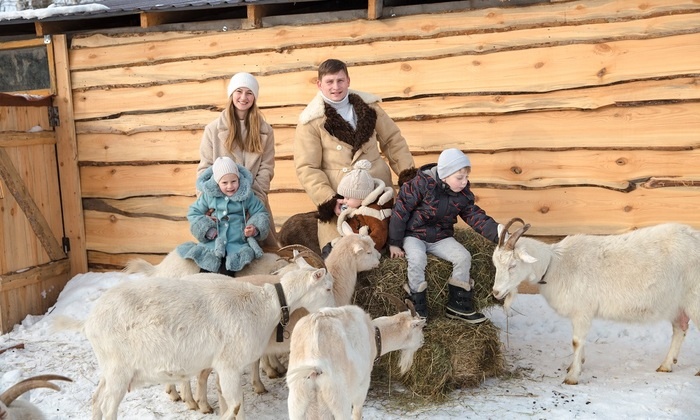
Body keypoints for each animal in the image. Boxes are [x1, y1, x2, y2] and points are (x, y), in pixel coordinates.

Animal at [492, 218, 700, 386]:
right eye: (495, 264)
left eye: (513, 265)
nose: (496, 292)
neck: (555, 265)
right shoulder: (580, 312)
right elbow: (580, 341)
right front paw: (575, 366)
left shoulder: (582, 310)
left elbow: (576, 341)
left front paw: (572, 377)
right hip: (677, 303)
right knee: (680, 329)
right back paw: (666, 365)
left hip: (694, 299)